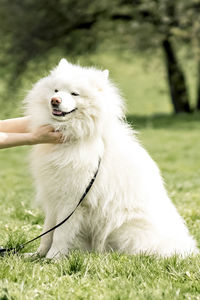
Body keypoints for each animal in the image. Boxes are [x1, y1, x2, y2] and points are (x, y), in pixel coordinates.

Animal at [24, 58, 198, 258]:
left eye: (74, 93)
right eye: (55, 90)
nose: (55, 100)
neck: (73, 137)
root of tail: (184, 247)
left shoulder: (72, 201)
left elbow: (60, 234)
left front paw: (53, 258)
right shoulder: (54, 197)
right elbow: (47, 232)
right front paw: (38, 255)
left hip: (124, 228)